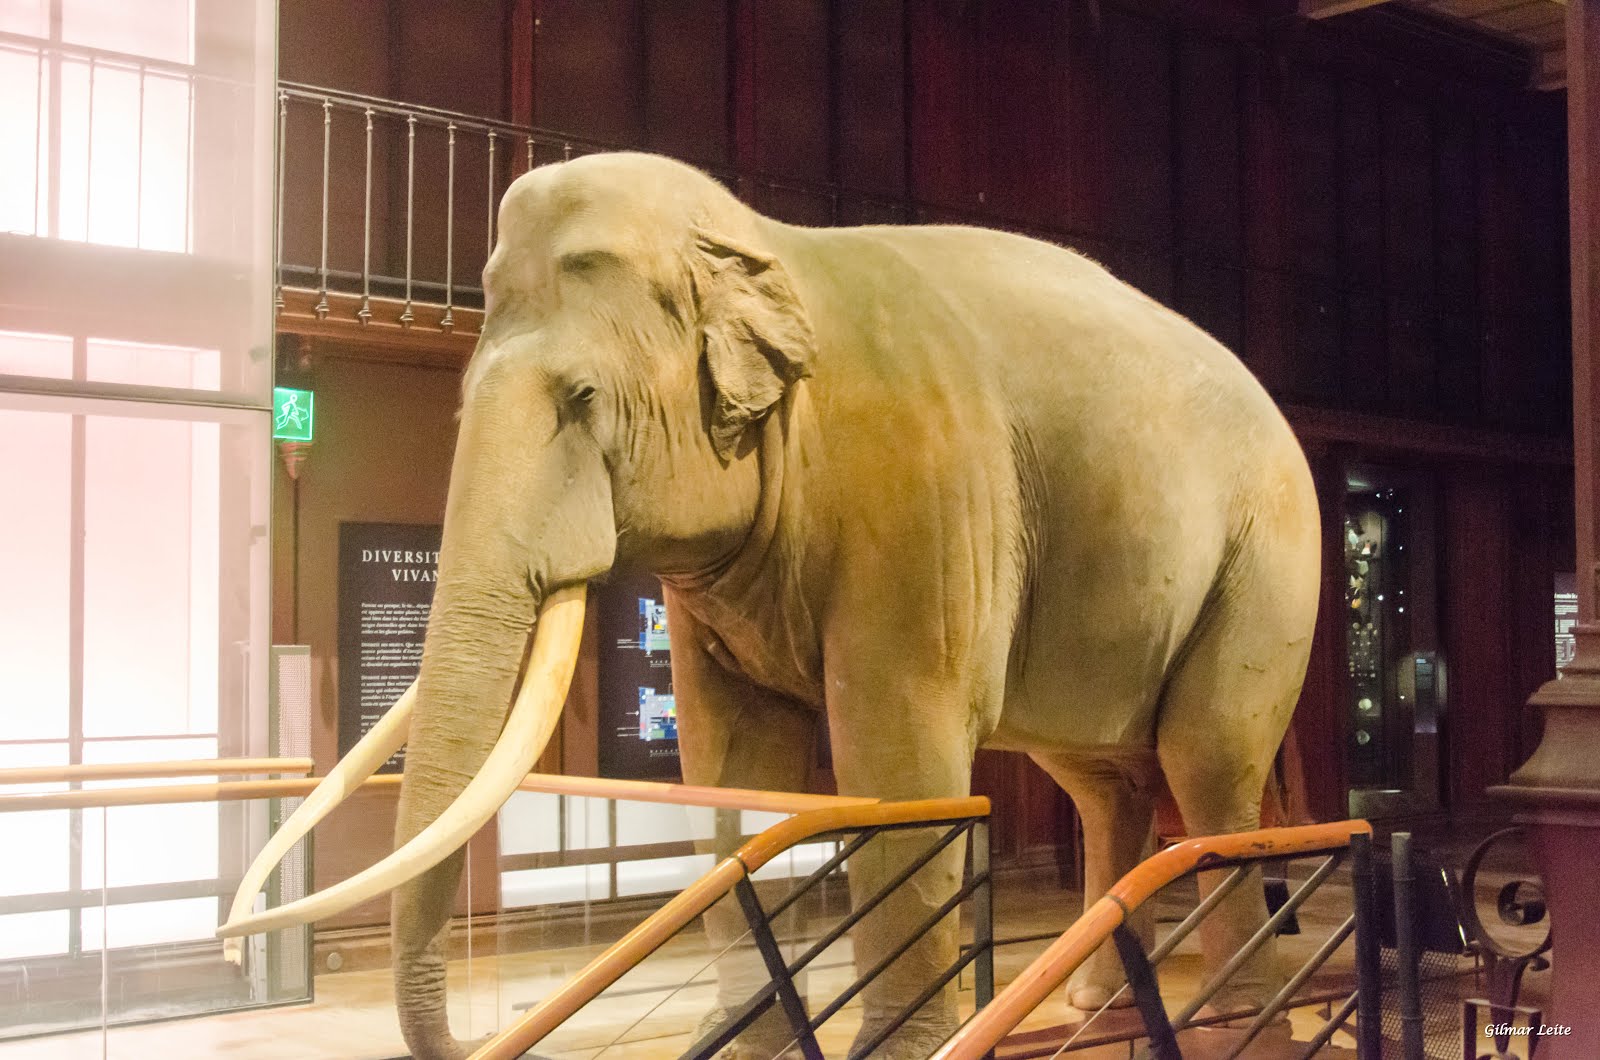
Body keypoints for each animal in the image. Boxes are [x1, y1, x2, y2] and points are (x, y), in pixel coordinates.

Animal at [219, 151, 1318, 1060]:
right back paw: (1099, 1006)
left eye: (581, 400)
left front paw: (899, 1045)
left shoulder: (918, 498)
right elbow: (730, 759)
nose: (474, 1034)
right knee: (1102, 780)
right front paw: (748, 1039)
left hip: (1270, 557)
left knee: (1205, 762)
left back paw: (1235, 1016)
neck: (770, 248)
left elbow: (894, 760)